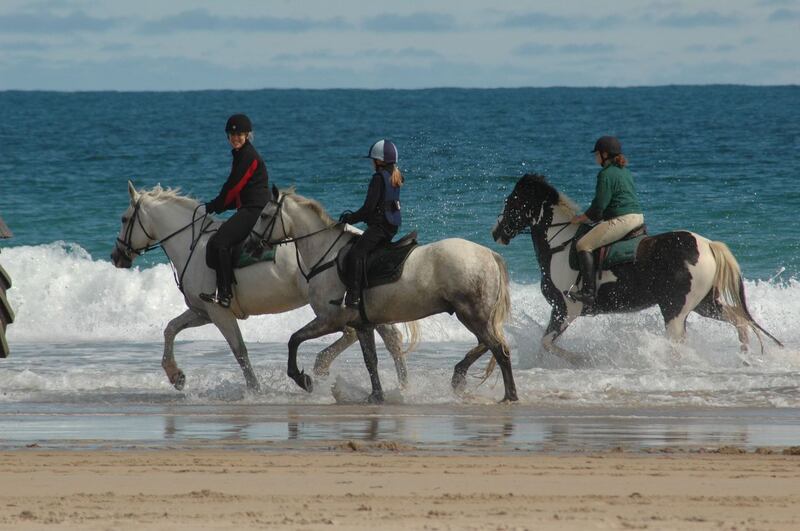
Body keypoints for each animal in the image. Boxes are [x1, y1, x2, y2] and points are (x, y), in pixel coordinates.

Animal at [110, 181, 411, 391]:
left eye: (124, 219)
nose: (116, 257)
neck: (191, 245)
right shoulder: (202, 312)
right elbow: (170, 328)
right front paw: (176, 376)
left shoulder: (218, 312)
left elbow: (239, 350)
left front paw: (254, 390)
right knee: (382, 337)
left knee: (365, 335)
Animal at [246, 185, 517, 403]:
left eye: (264, 216)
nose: (250, 245)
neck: (326, 255)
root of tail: (489, 254)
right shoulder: (363, 324)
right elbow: (371, 360)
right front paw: (376, 395)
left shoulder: (330, 320)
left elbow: (294, 340)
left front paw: (302, 379)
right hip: (473, 315)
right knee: (488, 344)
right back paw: (460, 376)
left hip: (471, 314)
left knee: (498, 348)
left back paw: (509, 395)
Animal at [491, 173, 782, 364]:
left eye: (512, 202)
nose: (496, 232)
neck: (559, 246)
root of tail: (707, 245)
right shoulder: (560, 310)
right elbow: (543, 346)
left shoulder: (566, 309)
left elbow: (546, 343)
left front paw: (582, 359)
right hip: (705, 304)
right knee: (739, 321)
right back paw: (743, 357)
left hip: (674, 310)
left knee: (678, 344)